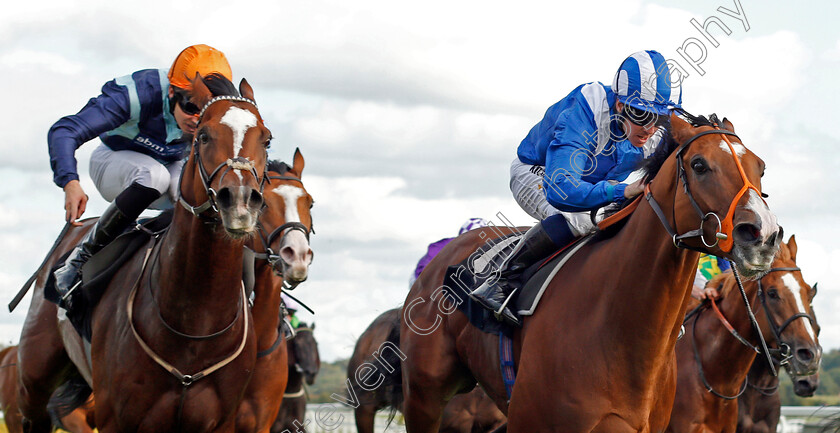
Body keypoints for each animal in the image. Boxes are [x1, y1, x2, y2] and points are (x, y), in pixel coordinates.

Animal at [18, 74, 270, 432]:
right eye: (204, 135)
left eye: (266, 140)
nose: (239, 202)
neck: (195, 324)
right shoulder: (115, 417)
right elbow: (68, 128)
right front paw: (73, 192)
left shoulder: (222, 420)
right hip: (35, 380)